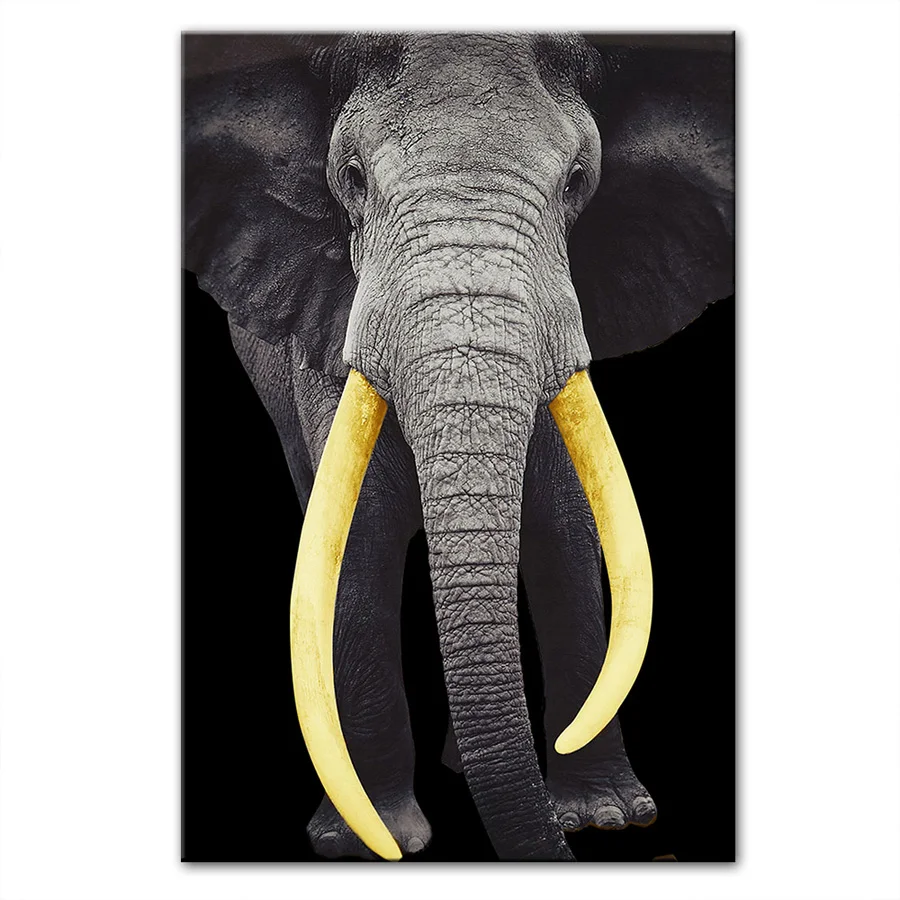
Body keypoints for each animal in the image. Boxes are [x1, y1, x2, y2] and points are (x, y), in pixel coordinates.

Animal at [183, 32, 734, 862]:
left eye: (579, 181)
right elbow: (359, 535)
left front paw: (606, 818)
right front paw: (372, 842)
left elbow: (564, 525)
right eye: (352, 178)